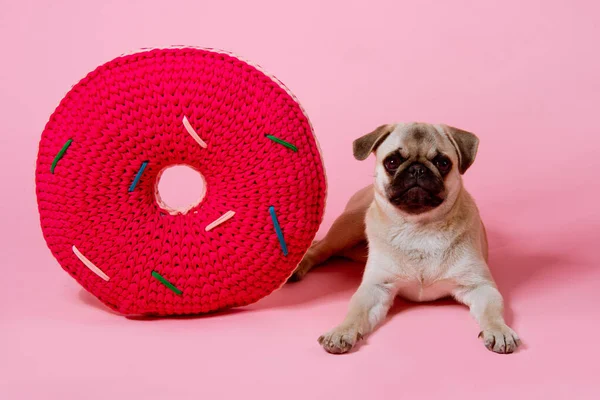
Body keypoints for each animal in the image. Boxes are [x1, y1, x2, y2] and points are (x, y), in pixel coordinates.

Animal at [290, 122, 520, 354]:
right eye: (392, 162)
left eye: (443, 163)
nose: (417, 169)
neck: (419, 228)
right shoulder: (376, 288)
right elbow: (356, 311)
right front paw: (342, 331)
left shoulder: (480, 287)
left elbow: (492, 311)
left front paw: (499, 331)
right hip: (347, 227)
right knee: (320, 249)